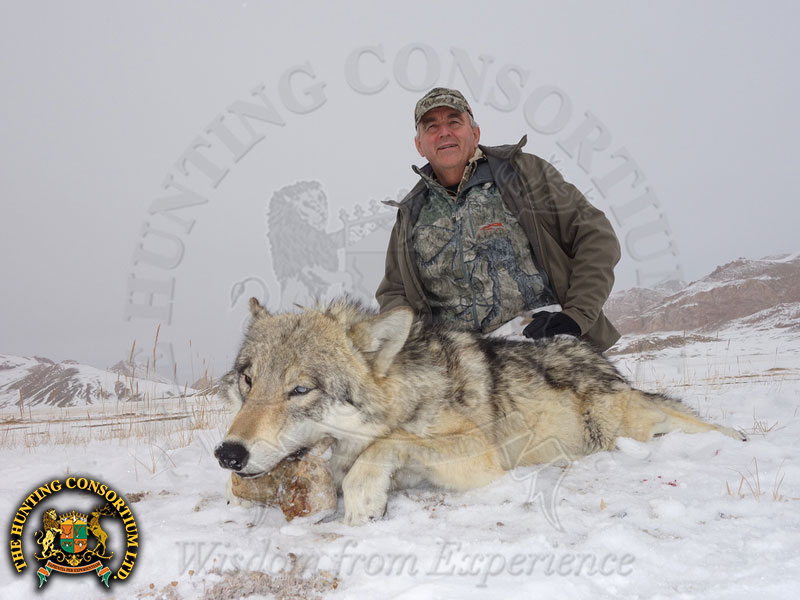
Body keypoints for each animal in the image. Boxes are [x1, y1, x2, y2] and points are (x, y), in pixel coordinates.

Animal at [215, 297, 745, 525]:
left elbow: (388, 445)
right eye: (248, 380)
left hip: (625, 427)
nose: (228, 454)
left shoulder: (481, 459)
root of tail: (602, 363)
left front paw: (364, 499)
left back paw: (736, 440)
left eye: (300, 389)